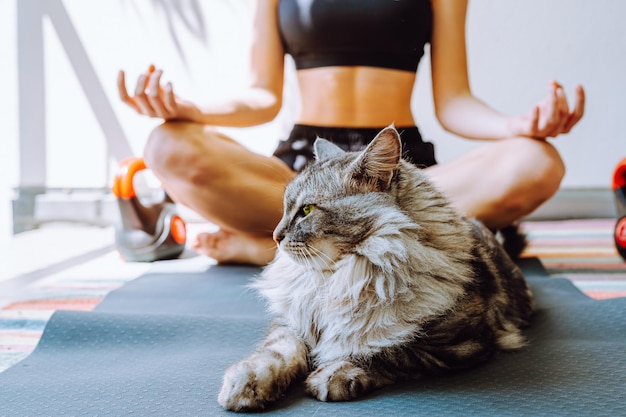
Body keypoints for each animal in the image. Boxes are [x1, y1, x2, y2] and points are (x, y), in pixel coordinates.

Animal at [217, 125, 528, 412]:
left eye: (306, 210)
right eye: (284, 209)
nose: (275, 236)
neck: (338, 278)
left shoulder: (461, 344)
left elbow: (383, 351)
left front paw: (333, 374)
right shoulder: (292, 322)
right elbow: (277, 352)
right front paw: (246, 383)